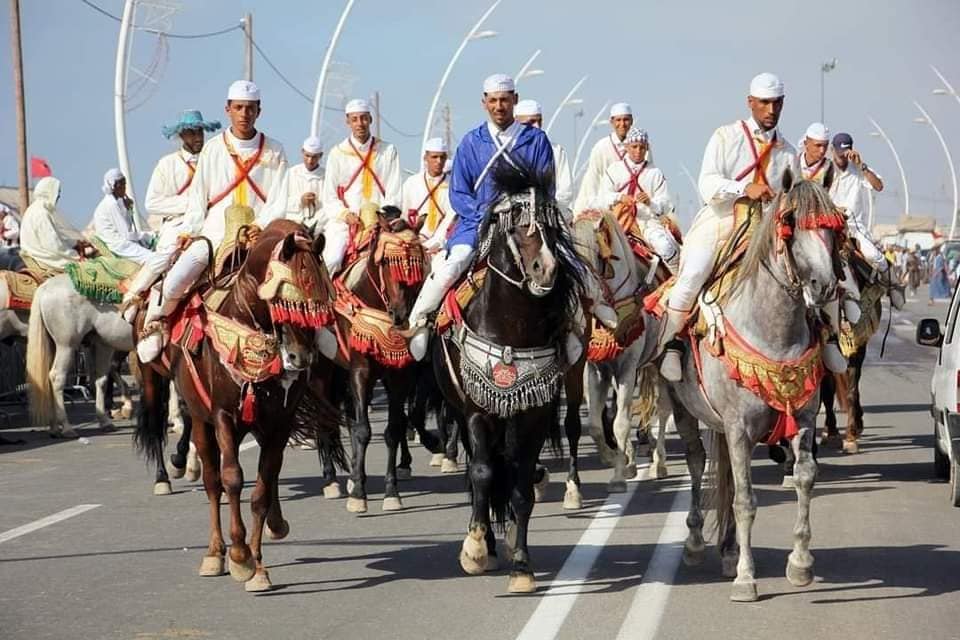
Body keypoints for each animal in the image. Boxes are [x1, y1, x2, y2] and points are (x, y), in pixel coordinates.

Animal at [134, 220, 338, 596]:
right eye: (282, 302)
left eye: (316, 305)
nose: (300, 358)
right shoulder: (222, 417)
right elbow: (231, 479)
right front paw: (240, 555)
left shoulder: (279, 421)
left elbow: (262, 488)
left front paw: (258, 567)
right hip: (196, 415)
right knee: (213, 481)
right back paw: (215, 553)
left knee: (267, 479)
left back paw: (274, 524)